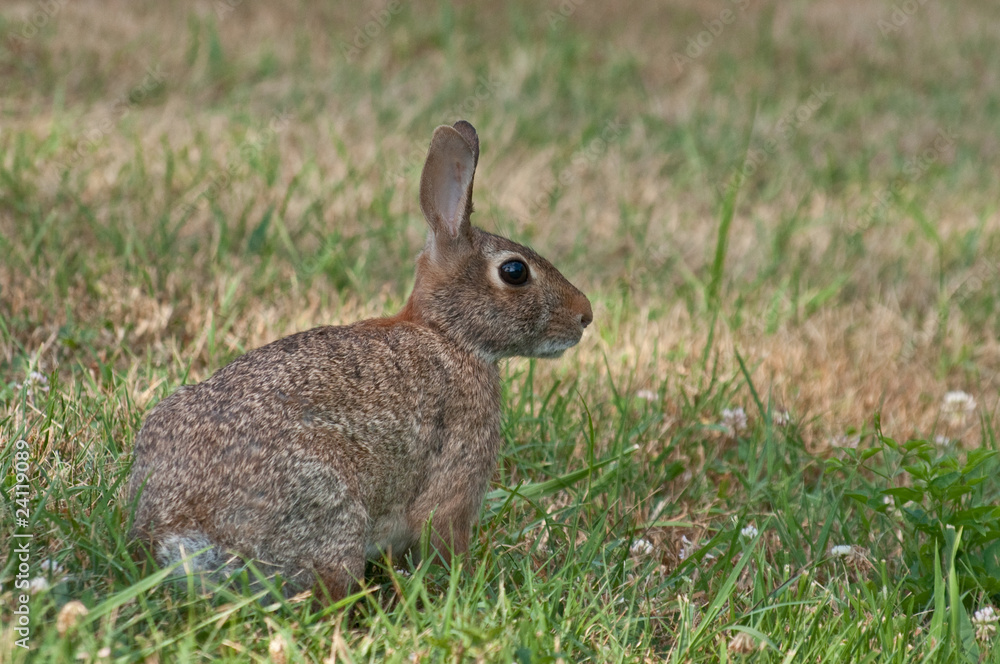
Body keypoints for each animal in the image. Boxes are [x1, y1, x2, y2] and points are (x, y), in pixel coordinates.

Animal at [126, 120, 593, 602]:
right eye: (514, 272)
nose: (586, 315)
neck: (449, 335)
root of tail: (180, 531)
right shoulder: (454, 480)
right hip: (331, 504)